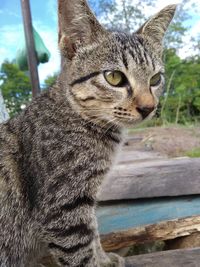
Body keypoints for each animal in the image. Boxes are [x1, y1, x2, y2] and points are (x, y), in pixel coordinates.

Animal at [0, 0, 176, 266]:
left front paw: (103, 258)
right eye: (114, 77)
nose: (148, 107)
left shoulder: (84, 200)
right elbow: (81, 251)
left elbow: (93, 233)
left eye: (155, 79)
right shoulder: (63, 207)